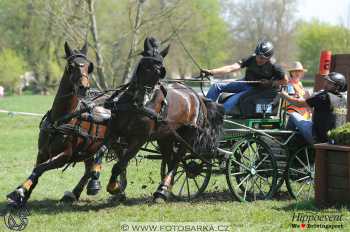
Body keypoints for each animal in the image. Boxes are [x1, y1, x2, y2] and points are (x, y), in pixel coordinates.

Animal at [6, 42, 108, 206]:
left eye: (88, 66)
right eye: (71, 66)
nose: (84, 87)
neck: (59, 119)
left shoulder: (65, 155)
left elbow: (39, 169)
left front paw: (20, 191)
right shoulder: (42, 152)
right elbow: (36, 170)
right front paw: (23, 197)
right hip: (90, 147)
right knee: (89, 168)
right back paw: (75, 193)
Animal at [104, 36, 224, 201]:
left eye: (160, 66)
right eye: (145, 63)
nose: (141, 99)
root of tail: (198, 97)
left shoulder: (138, 139)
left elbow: (120, 164)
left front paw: (114, 188)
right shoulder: (115, 132)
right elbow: (111, 158)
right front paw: (114, 186)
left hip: (187, 136)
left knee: (177, 161)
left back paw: (163, 189)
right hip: (165, 136)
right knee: (169, 159)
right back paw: (164, 188)